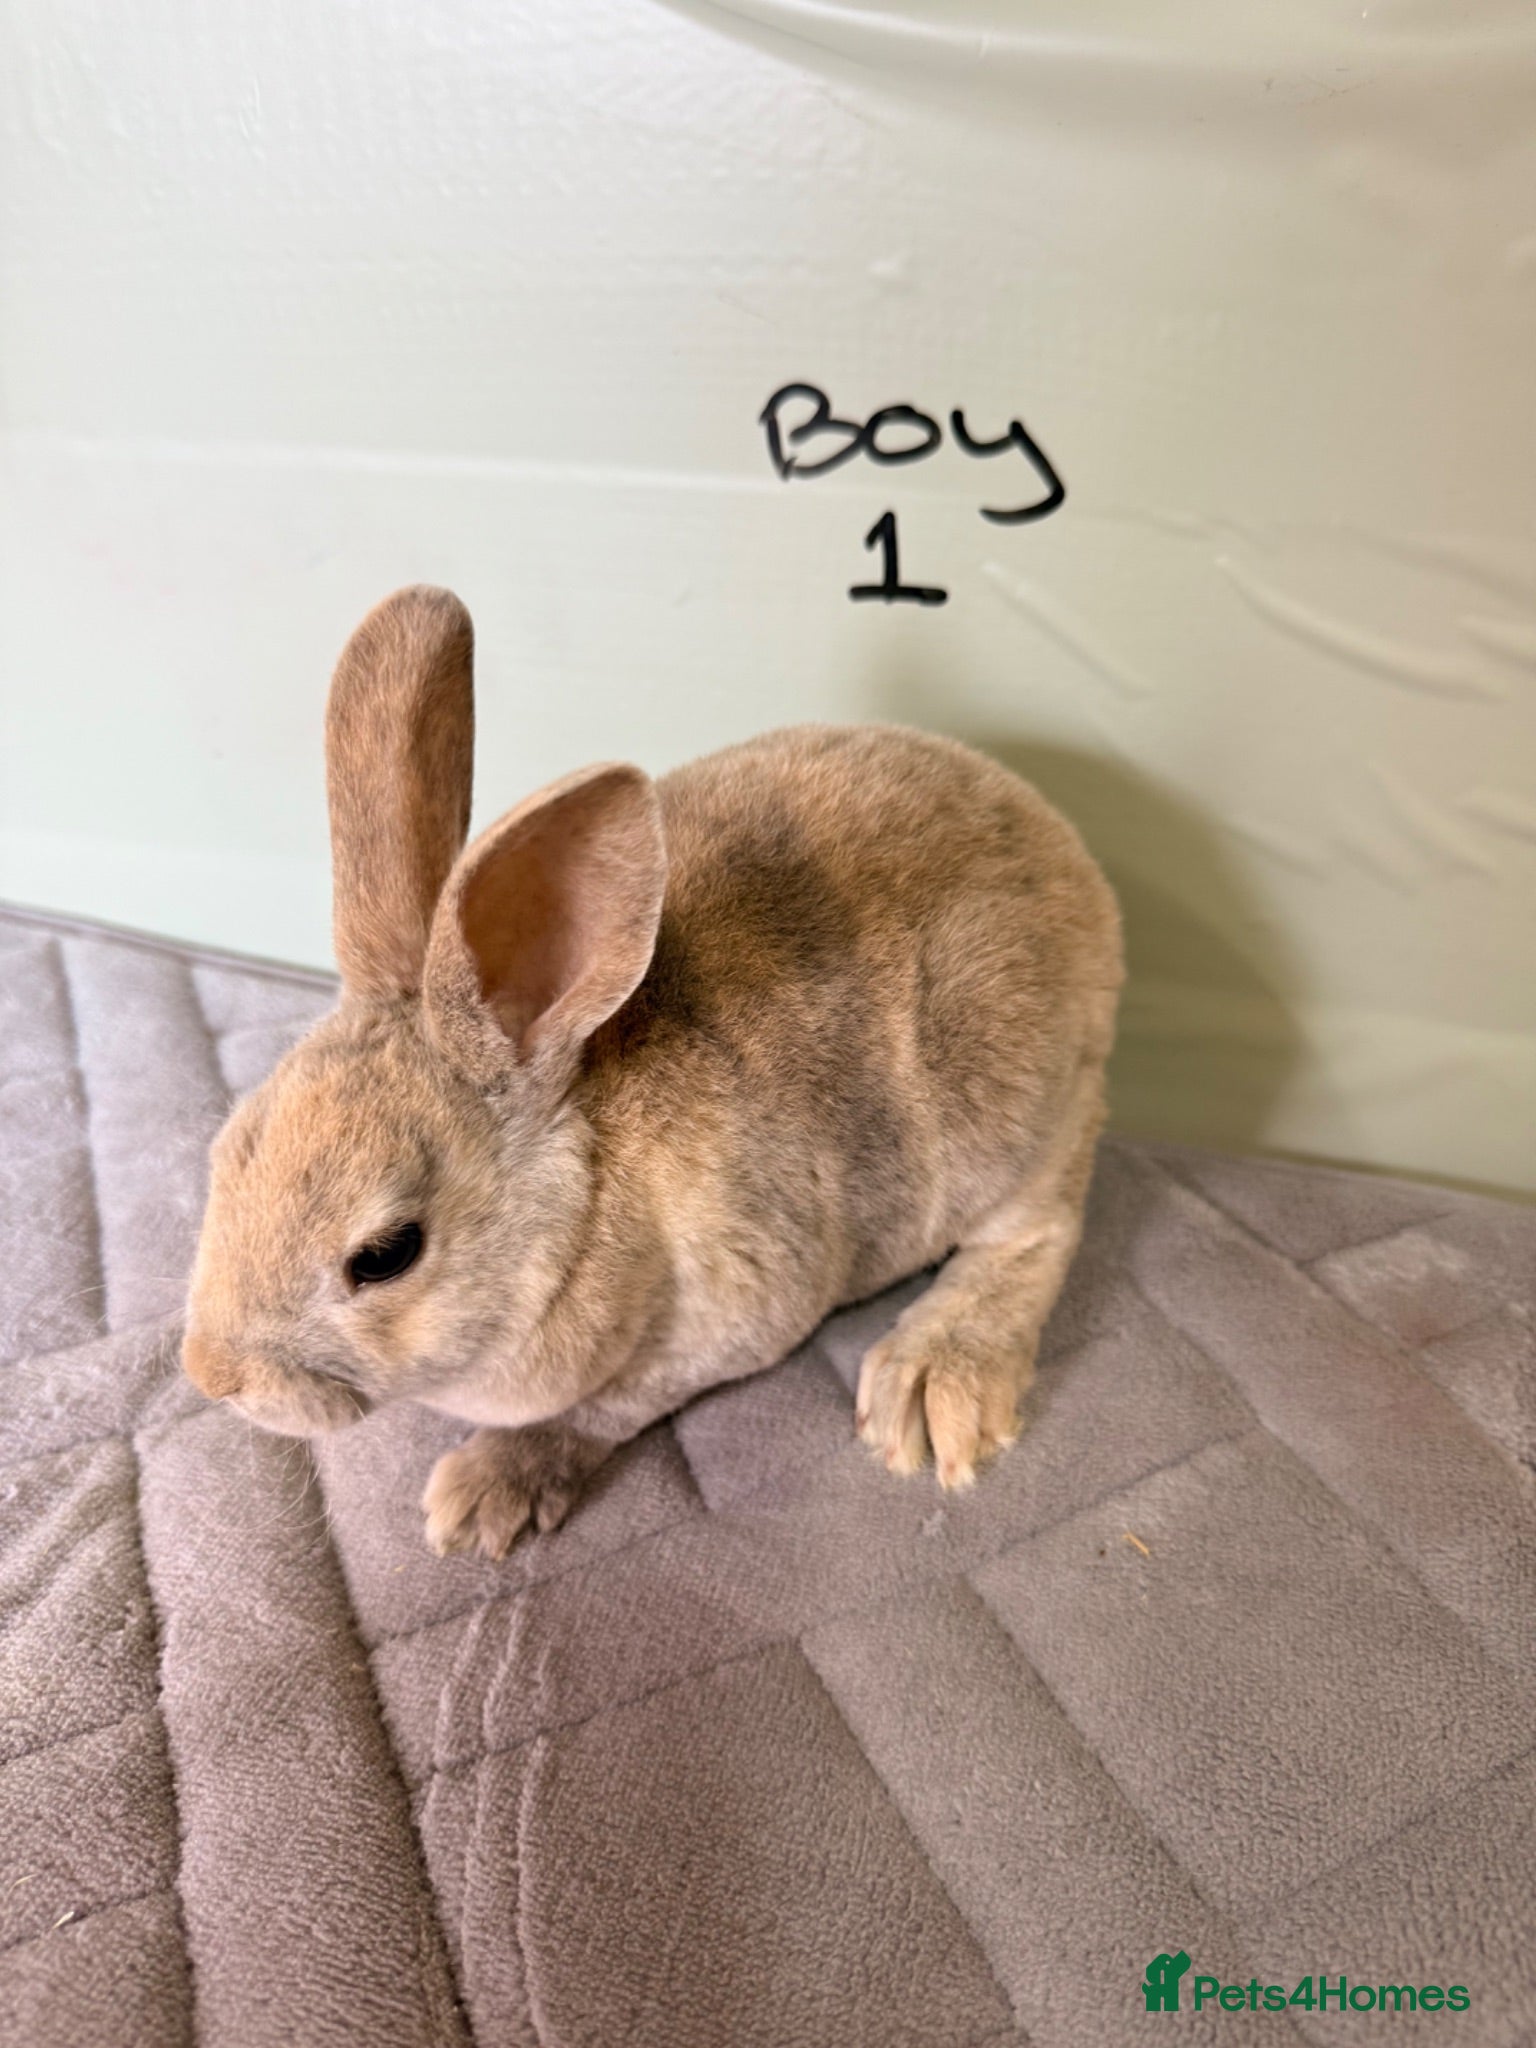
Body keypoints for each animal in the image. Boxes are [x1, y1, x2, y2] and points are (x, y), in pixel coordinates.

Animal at [182, 586, 1123, 1558]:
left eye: (385, 1256)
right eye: (229, 1151)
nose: (213, 1376)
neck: (584, 1203)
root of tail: (1072, 862)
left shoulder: (739, 1307)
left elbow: (604, 1407)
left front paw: (485, 1496)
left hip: (1014, 1101)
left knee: (1042, 1223)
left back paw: (935, 1386)